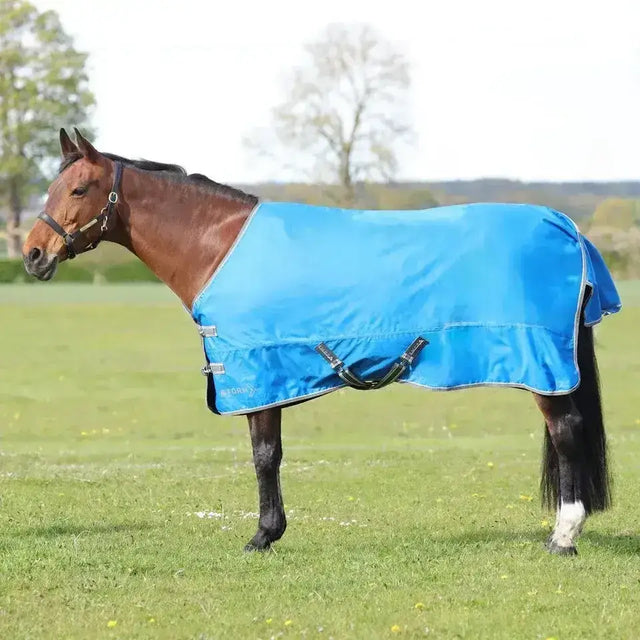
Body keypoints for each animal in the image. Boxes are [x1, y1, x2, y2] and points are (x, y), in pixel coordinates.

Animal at [23, 128, 620, 556]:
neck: (218, 245)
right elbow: (270, 454)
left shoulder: (259, 371)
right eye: (52, 188)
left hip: (544, 365)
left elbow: (264, 455)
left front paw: (263, 535)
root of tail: (567, 227)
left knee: (566, 433)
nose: (32, 254)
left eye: (79, 189)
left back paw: (563, 537)